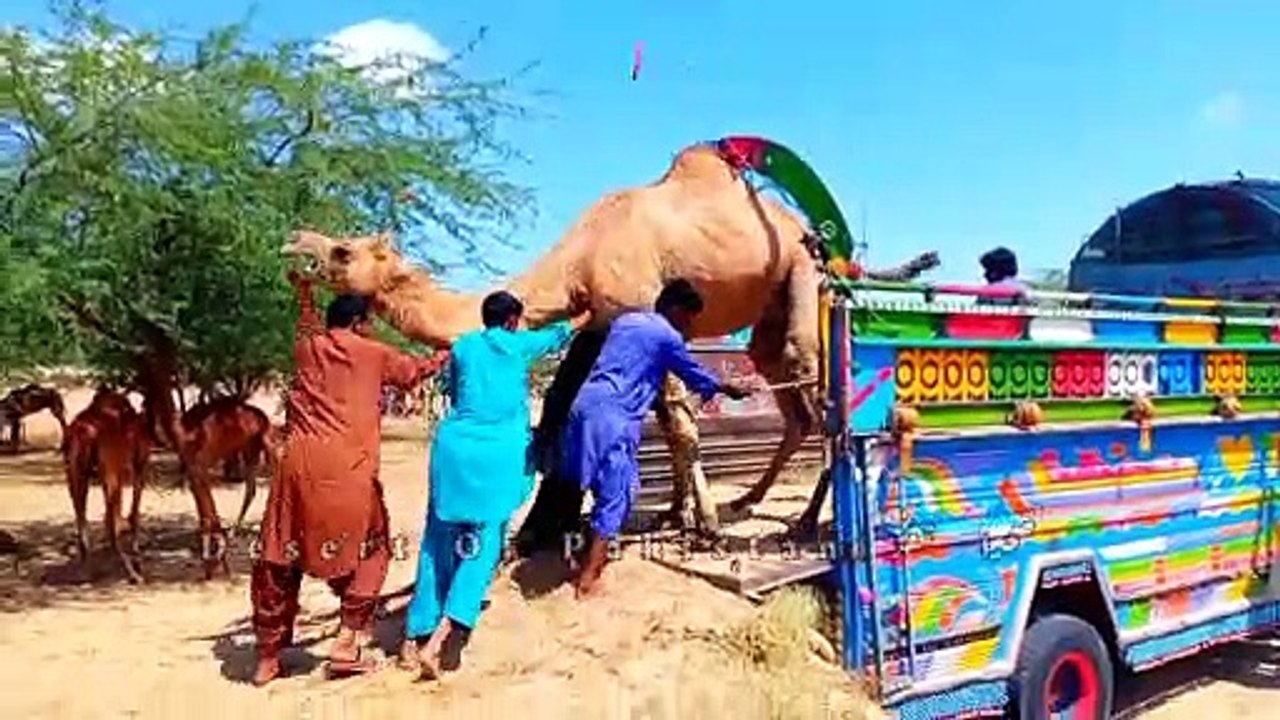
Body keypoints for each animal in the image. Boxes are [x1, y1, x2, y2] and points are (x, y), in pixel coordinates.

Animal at [64, 388, 152, 583]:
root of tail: (82, 433)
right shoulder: (137, 463)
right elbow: (133, 508)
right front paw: (137, 550)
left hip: (75, 474)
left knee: (81, 513)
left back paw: (84, 571)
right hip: (110, 468)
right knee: (113, 520)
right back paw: (132, 572)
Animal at [283, 138, 938, 542]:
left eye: (343, 251)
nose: (295, 241)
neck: (581, 257)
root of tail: (816, 239)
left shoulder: (643, 305)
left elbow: (678, 419)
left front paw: (702, 525)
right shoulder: (615, 321)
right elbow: (657, 416)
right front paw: (675, 514)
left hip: (802, 276)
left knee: (817, 378)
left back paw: (802, 523)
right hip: (768, 317)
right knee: (792, 400)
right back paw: (751, 502)